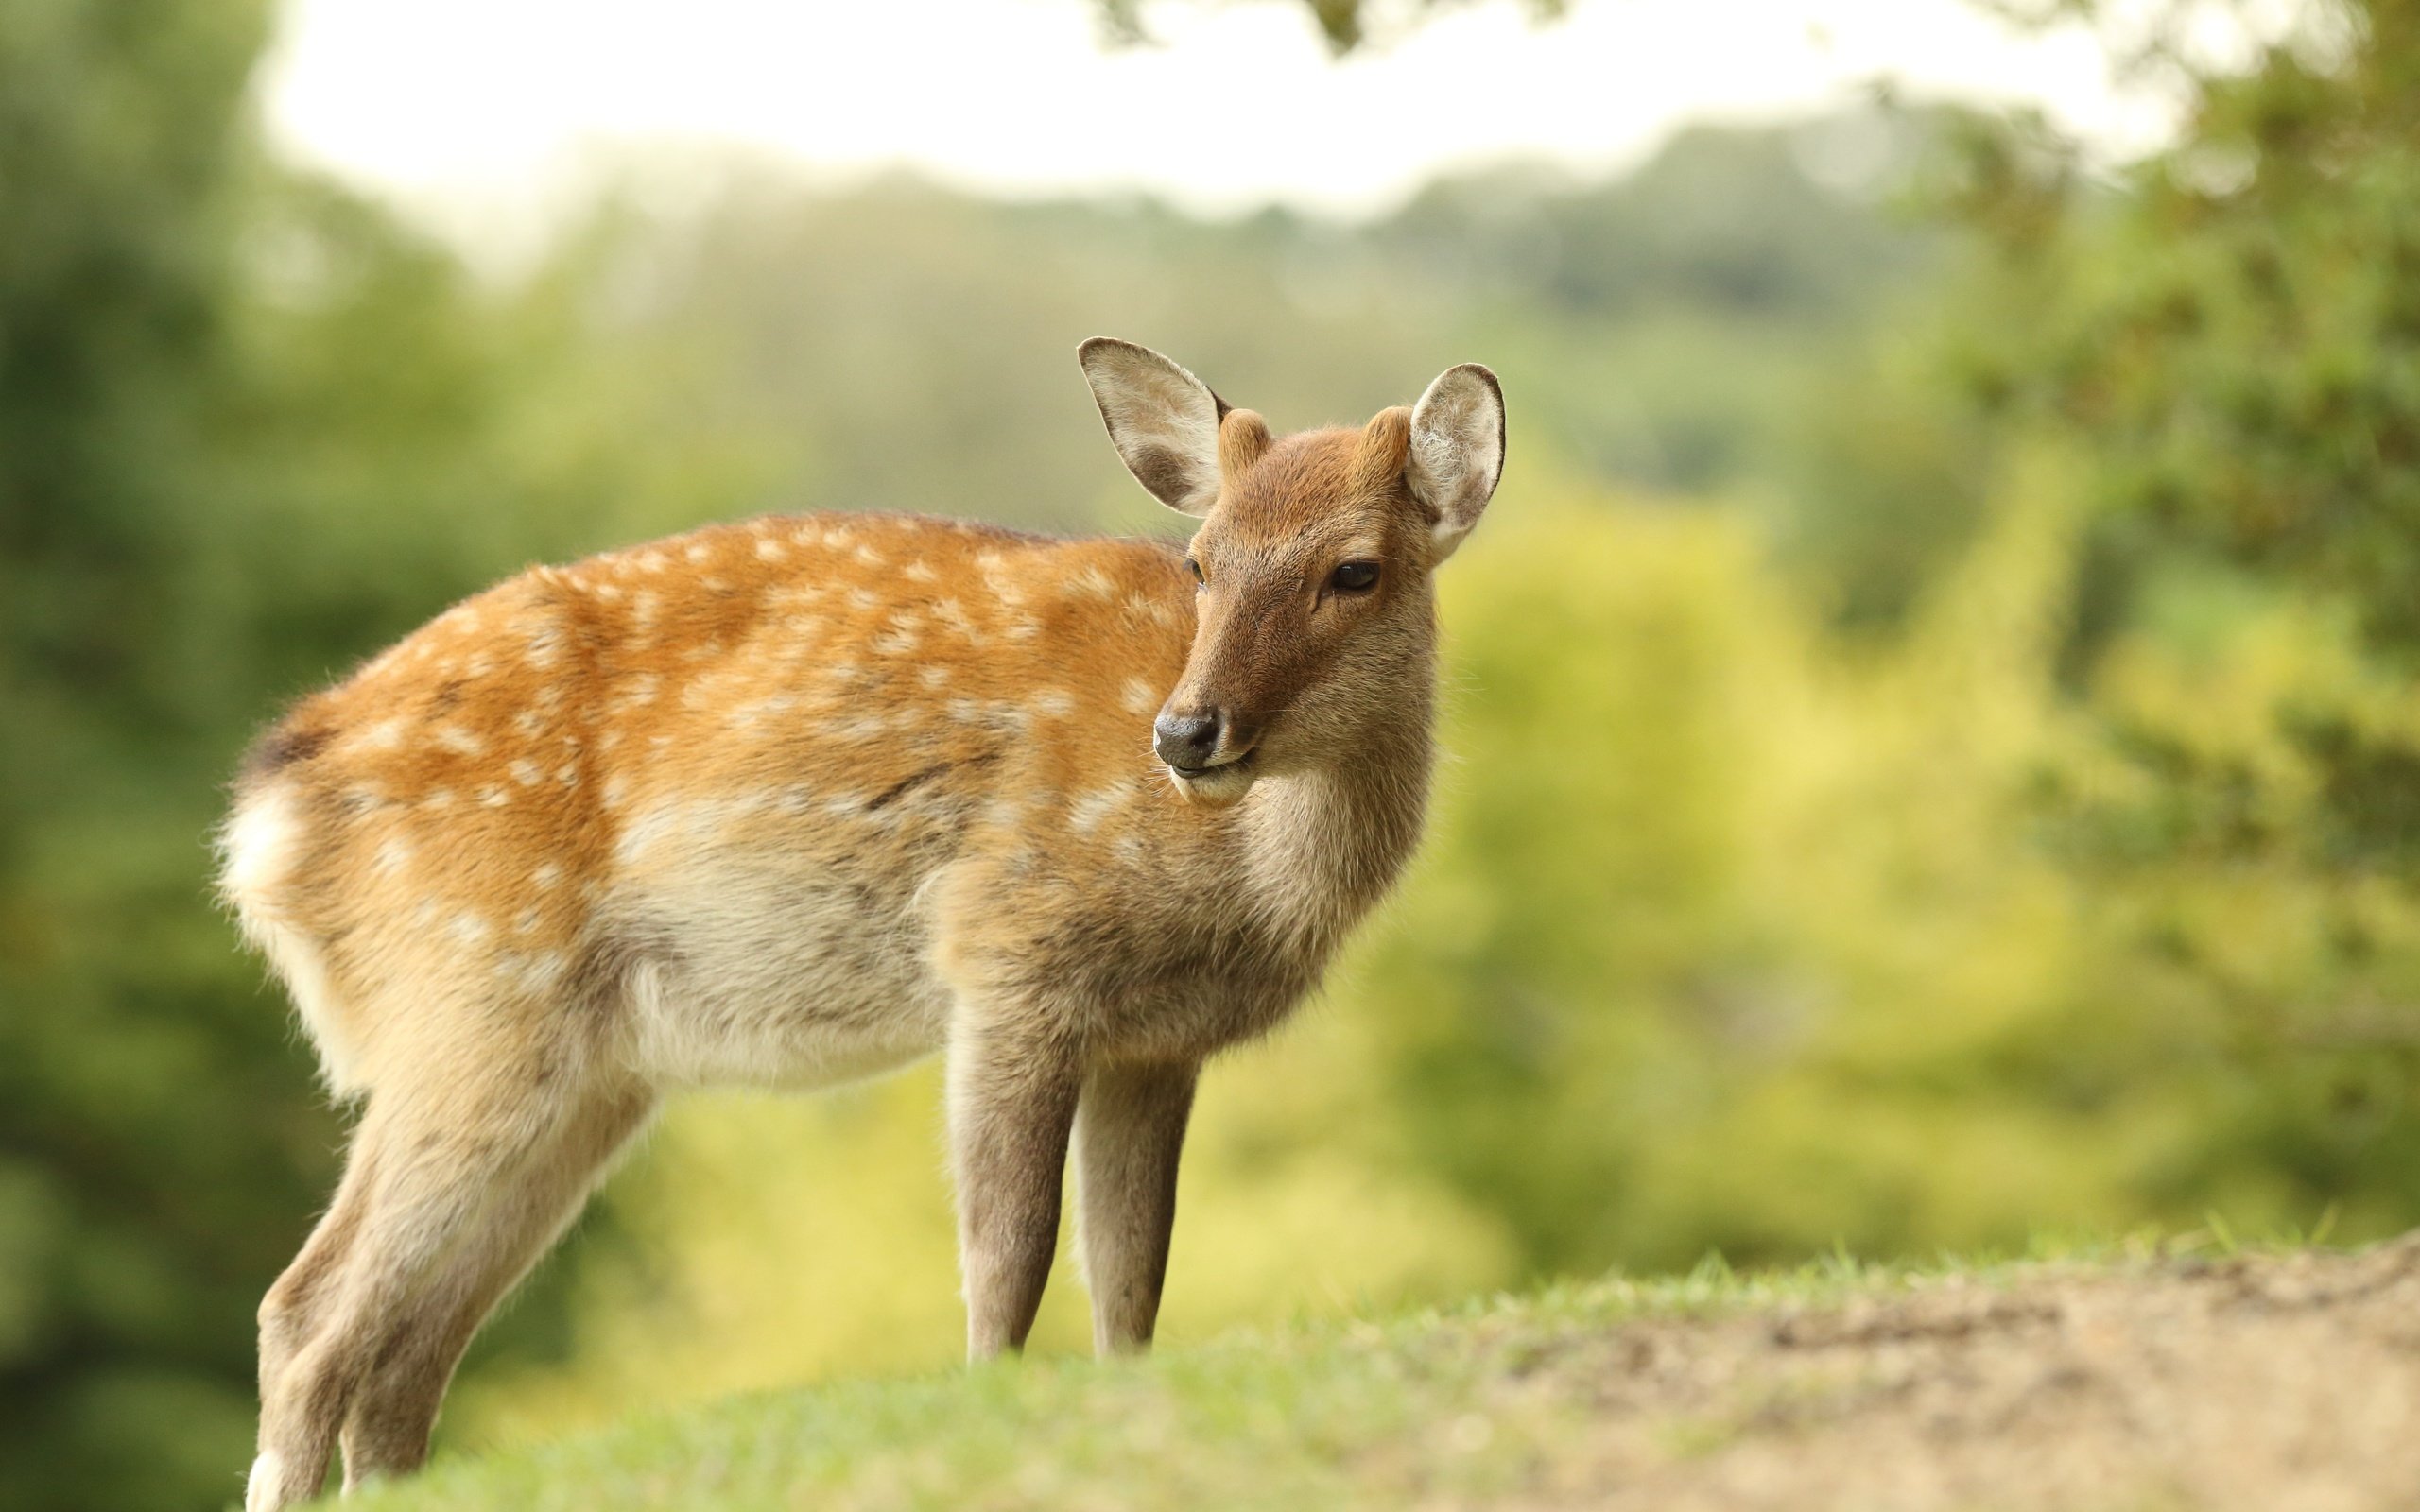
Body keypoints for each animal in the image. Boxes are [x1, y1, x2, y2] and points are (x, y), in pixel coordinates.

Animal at [217, 340, 1500, 1509]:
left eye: (1355, 568)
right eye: (1201, 560)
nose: (1187, 732)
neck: (1235, 885)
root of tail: (266, 820)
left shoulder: (1157, 1039)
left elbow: (1134, 1273)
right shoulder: (1007, 949)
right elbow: (1011, 1249)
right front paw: (989, 1402)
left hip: (581, 1067)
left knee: (404, 1355)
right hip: (472, 986)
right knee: (308, 1313)